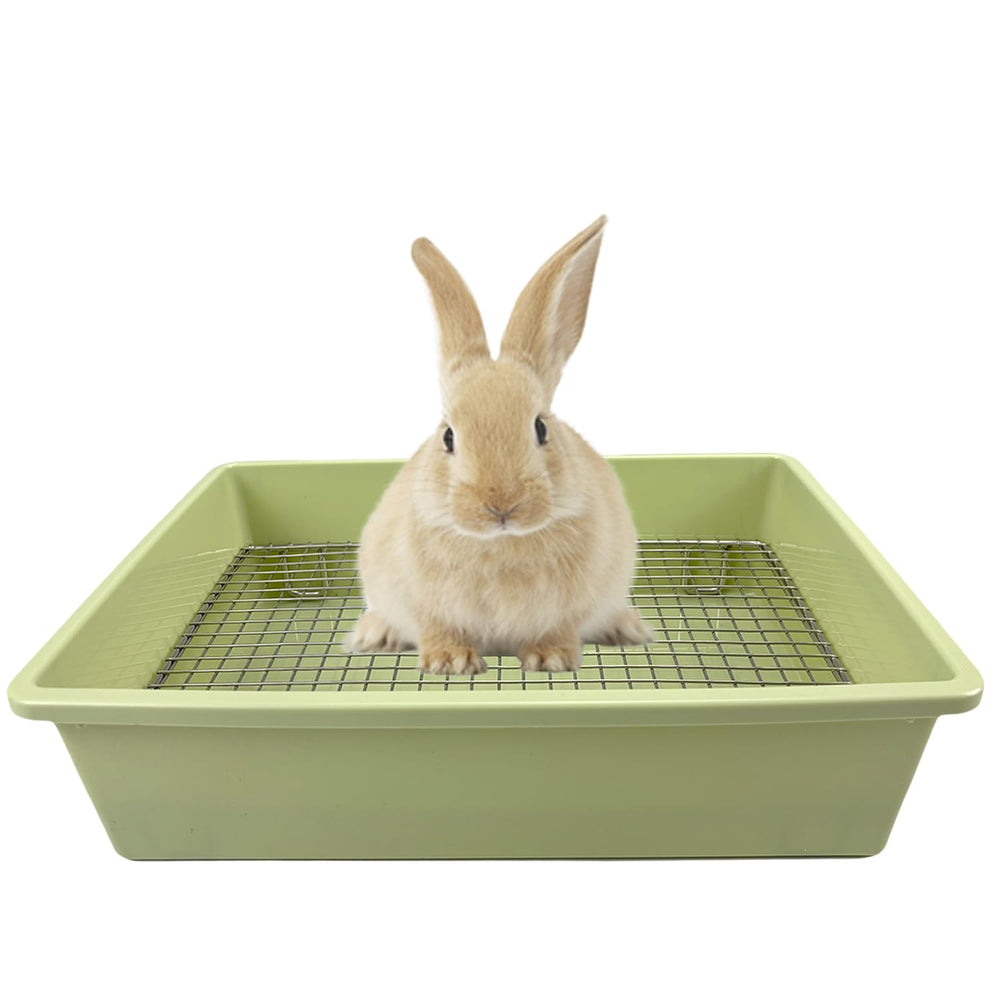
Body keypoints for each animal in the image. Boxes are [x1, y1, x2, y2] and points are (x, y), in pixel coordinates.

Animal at [347, 215, 654, 674]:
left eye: (541, 428)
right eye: (448, 436)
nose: (501, 505)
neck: (499, 543)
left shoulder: (569, 608)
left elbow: (558, 630)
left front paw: (551, 660)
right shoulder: (425, 604)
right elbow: (437, 628)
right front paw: (450, 663)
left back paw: (629, 629)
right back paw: (373, 635)